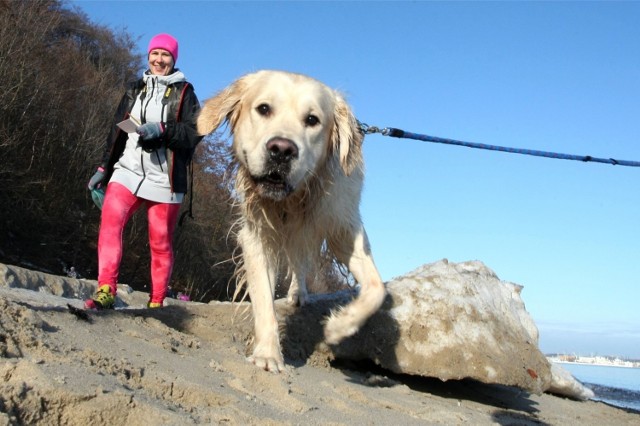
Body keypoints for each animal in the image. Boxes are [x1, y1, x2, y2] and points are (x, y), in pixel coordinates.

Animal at [195, 70, 384, 372]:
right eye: (263, 109)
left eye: (312, 120)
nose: (282, 150)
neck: (293, 200)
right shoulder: (256, 235)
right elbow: (263, 299)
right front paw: (268, 354)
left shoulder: (343, 226)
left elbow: (377, 289)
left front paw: (340, 326)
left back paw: (299, 293)